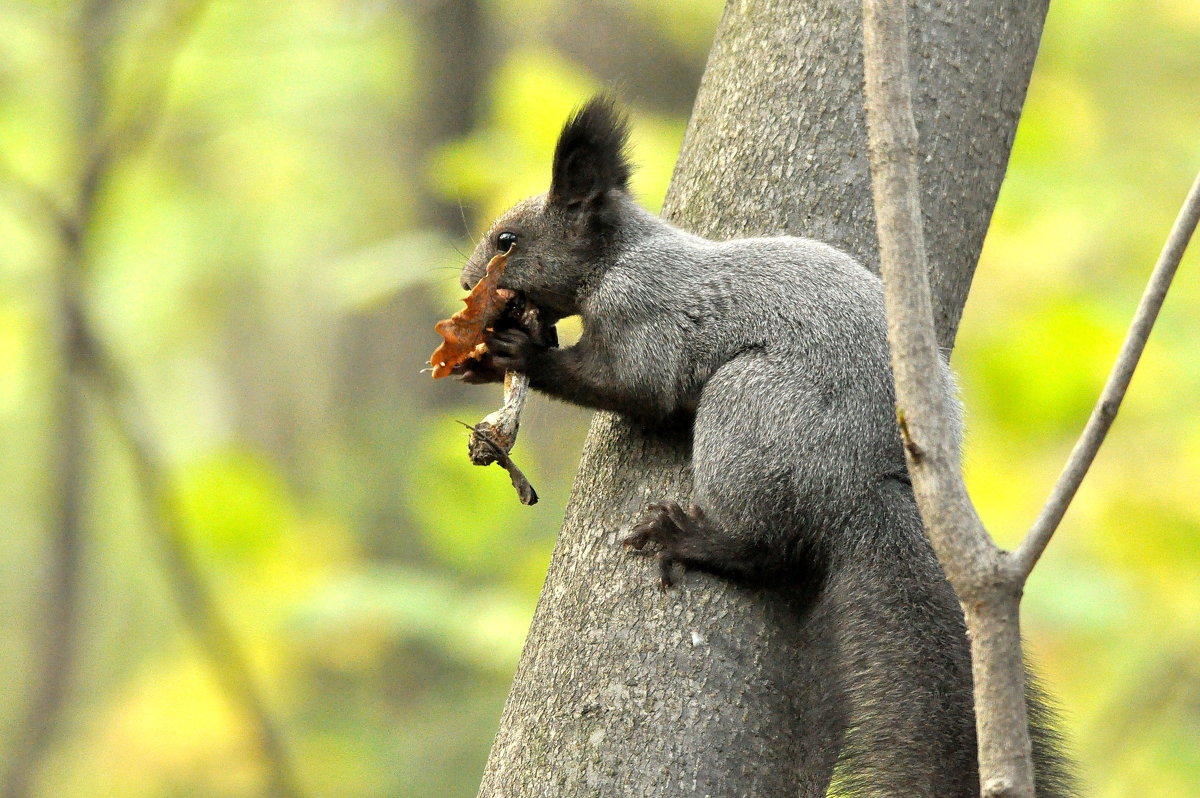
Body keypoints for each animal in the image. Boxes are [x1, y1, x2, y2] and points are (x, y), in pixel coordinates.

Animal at [453, 99, 1075, 796]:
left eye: (507, 241)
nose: (466, 283)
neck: (623, 257)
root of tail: (868, 480)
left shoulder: (647, 317)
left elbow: (633, 384)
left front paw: (517, 350)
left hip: (748, 409)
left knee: (767, 548)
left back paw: (693, 538)